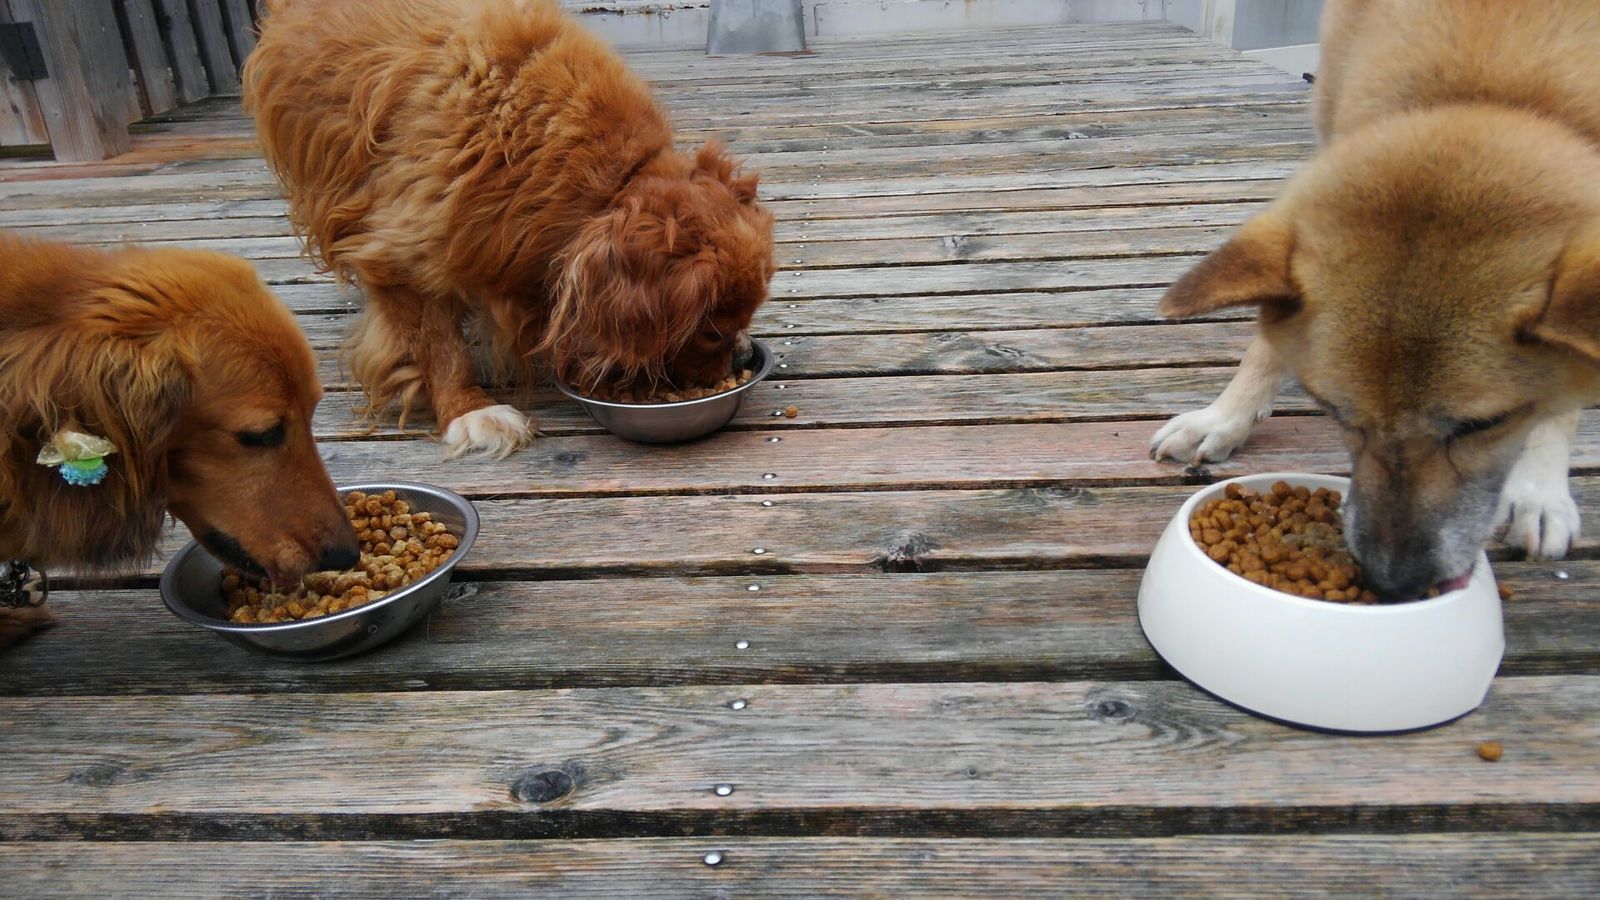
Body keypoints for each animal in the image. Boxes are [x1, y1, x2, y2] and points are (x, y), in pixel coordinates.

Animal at [1150, 0, 1600, 599]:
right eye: (1336, 410)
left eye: (1484, 425)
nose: (1393, 583)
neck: (1487, 87)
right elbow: (1272, 333)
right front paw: (1224, 417)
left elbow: (1564, 391)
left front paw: (1540, 490)